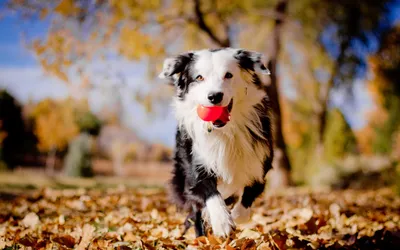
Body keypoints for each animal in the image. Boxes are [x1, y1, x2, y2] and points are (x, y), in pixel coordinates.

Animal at [159, 47, 276, 238]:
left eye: (228, 75)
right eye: (199, 77)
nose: (214, 96)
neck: (224, 131)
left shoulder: (260, 165)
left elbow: (246, 201)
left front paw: (235, 215)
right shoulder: (196, 167)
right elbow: (211, 193)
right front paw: (222, 222)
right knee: (196, 213)